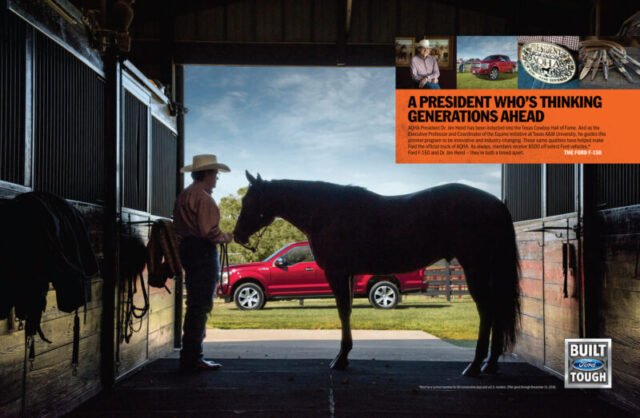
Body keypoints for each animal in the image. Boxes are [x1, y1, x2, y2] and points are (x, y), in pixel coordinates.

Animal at [233, 172, 521, 377]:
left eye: (249, 201)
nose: (237, 235)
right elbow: (347, 311)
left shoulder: (338, 273)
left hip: (476, 267)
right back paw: (489, 364)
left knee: (487, 311)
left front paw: (340, 359)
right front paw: (344, 356)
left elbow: (343, 312)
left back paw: (475, 365)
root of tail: (495, 203)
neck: (325, 212)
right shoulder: (348, 274)